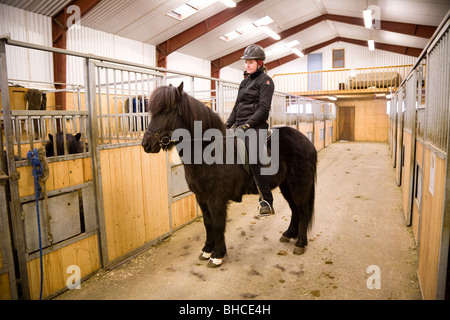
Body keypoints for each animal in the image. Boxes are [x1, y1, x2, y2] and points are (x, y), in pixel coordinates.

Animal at [142, 82, 316, 268]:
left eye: (166, 111)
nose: (146, 144)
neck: (208, 150)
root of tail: (306, 141)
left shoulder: (216, 199)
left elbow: (218, 224)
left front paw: (217, 255)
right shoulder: (201, 198)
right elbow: (208, 224)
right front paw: (207, 250)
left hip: (300, 185)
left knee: (304, 210)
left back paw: (300, 243)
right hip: (287, 186)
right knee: (295, 209)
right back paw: (289, 234)